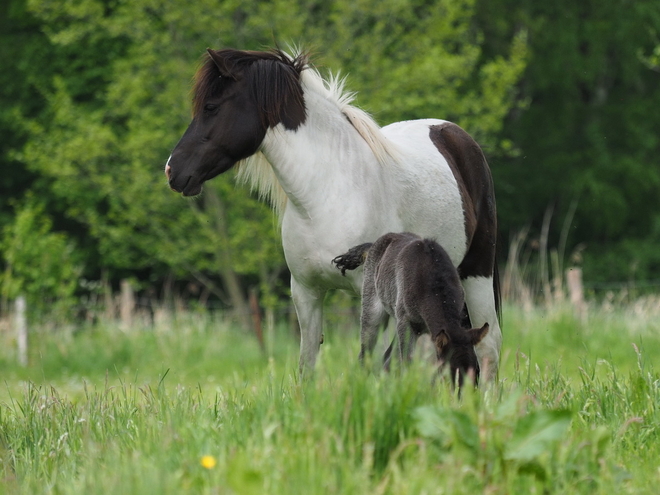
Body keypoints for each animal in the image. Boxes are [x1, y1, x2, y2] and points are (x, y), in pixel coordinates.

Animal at [165, 48, 500, 382]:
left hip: (476, 274)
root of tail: (452, 132)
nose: (172, 170)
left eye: (211, 107)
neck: (325, 195)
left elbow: (377, 363)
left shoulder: (375, 297)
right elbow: (307, 365)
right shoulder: (305, 292)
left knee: (489, 345)